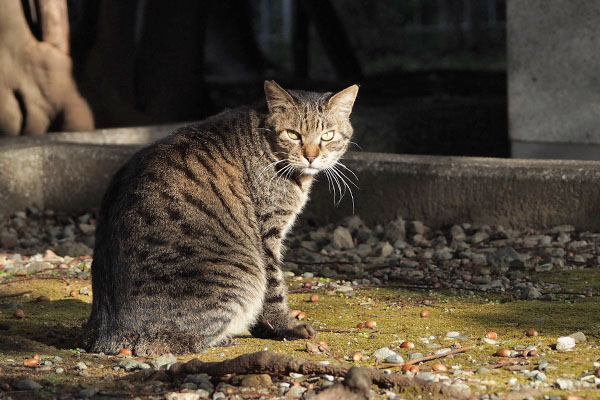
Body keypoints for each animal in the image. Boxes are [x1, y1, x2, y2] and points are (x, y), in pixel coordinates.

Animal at [82, 79, 358, 354]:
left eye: (328, 135)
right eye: (293, 134)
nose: (311, 156)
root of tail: (106, 333)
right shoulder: (267, 234)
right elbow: (274, 289)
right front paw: (286, 327)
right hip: (242, 274)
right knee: (164, 342)